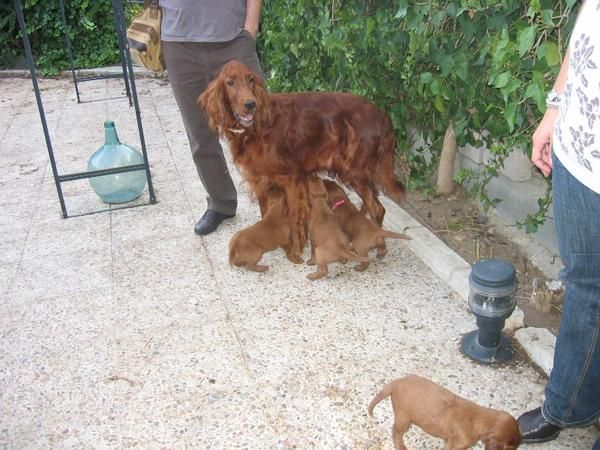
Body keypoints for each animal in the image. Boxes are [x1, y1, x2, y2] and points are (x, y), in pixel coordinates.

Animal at [368, 374, 524, 450]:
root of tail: (396, 382)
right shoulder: (458, 444)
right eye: (510, 448)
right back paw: (401, 447)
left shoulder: (450, 441)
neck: (481, 419)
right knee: (396, 432)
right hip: (403, 416)